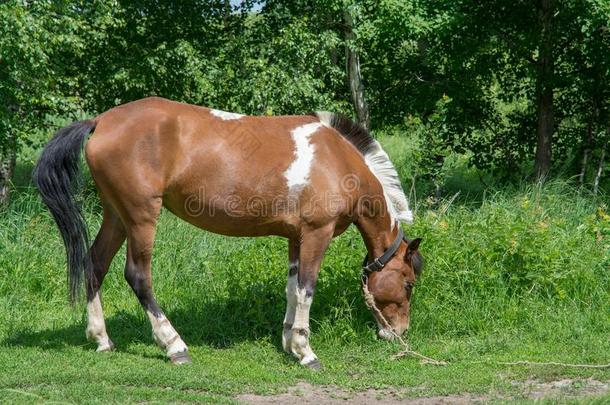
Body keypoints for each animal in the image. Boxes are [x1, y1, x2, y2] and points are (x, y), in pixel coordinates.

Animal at [33, 96, 422, 368]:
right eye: (407, 283)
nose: (399, 333)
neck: (337, 160)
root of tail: (101, 121)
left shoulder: (295, 238)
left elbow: (291, 289)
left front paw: (287, 343)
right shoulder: (316, 234)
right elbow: (307, 289)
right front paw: (305, 350)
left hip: (116, 215)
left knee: (95, 264)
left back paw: (102, 339)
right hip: (141, 217)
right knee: (138, 275)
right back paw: (174, 345)